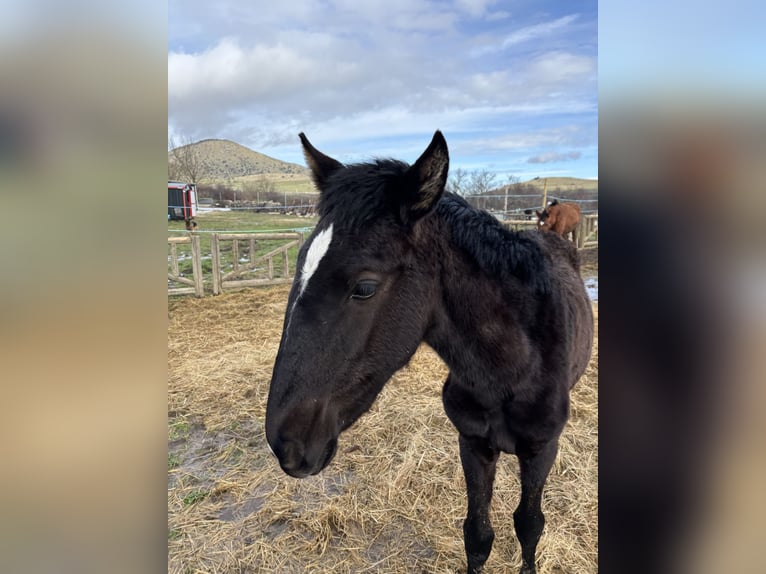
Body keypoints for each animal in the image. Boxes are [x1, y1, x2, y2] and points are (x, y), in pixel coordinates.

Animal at [268, 132, 596, 574]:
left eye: (365, 287)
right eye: (300, 263)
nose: (285, 443)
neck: (512, 370)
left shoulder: (539, 451)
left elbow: (529, 526)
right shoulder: (473, 444)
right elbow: (478, 536)